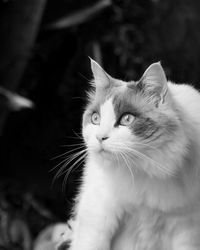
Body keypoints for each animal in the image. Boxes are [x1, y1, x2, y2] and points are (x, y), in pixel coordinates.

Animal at [59, 59, 200, 250]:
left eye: (127, 119)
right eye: (95, 119)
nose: (99, 137)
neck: (144, 170)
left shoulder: (186, 226)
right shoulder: (99, 213)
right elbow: (91, 243)